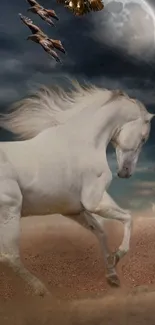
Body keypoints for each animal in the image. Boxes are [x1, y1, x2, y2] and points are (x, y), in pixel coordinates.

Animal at [0, 79, 153, 294]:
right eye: (143, 138)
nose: (125, 172)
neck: (84, 141)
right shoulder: (93, 202)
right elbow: (128, 217)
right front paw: (118, 256)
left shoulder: (75, 209)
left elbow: (101, 232)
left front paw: (112, 276)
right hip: (10, 211)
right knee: (9, 256)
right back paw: (43, 291)